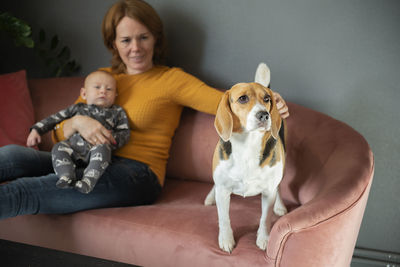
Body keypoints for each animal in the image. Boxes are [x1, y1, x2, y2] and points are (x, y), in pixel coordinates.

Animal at [205, 62, 286, 253]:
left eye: (267, 99)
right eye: (242, 99)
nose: (264, 115)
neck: (248, 144)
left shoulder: (268, 192)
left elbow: (265, 218)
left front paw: (263, 238)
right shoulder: (223, 190)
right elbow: (224, 218)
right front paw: (226, 240)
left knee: (279, 186)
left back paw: (280, 205)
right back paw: (211, 196)